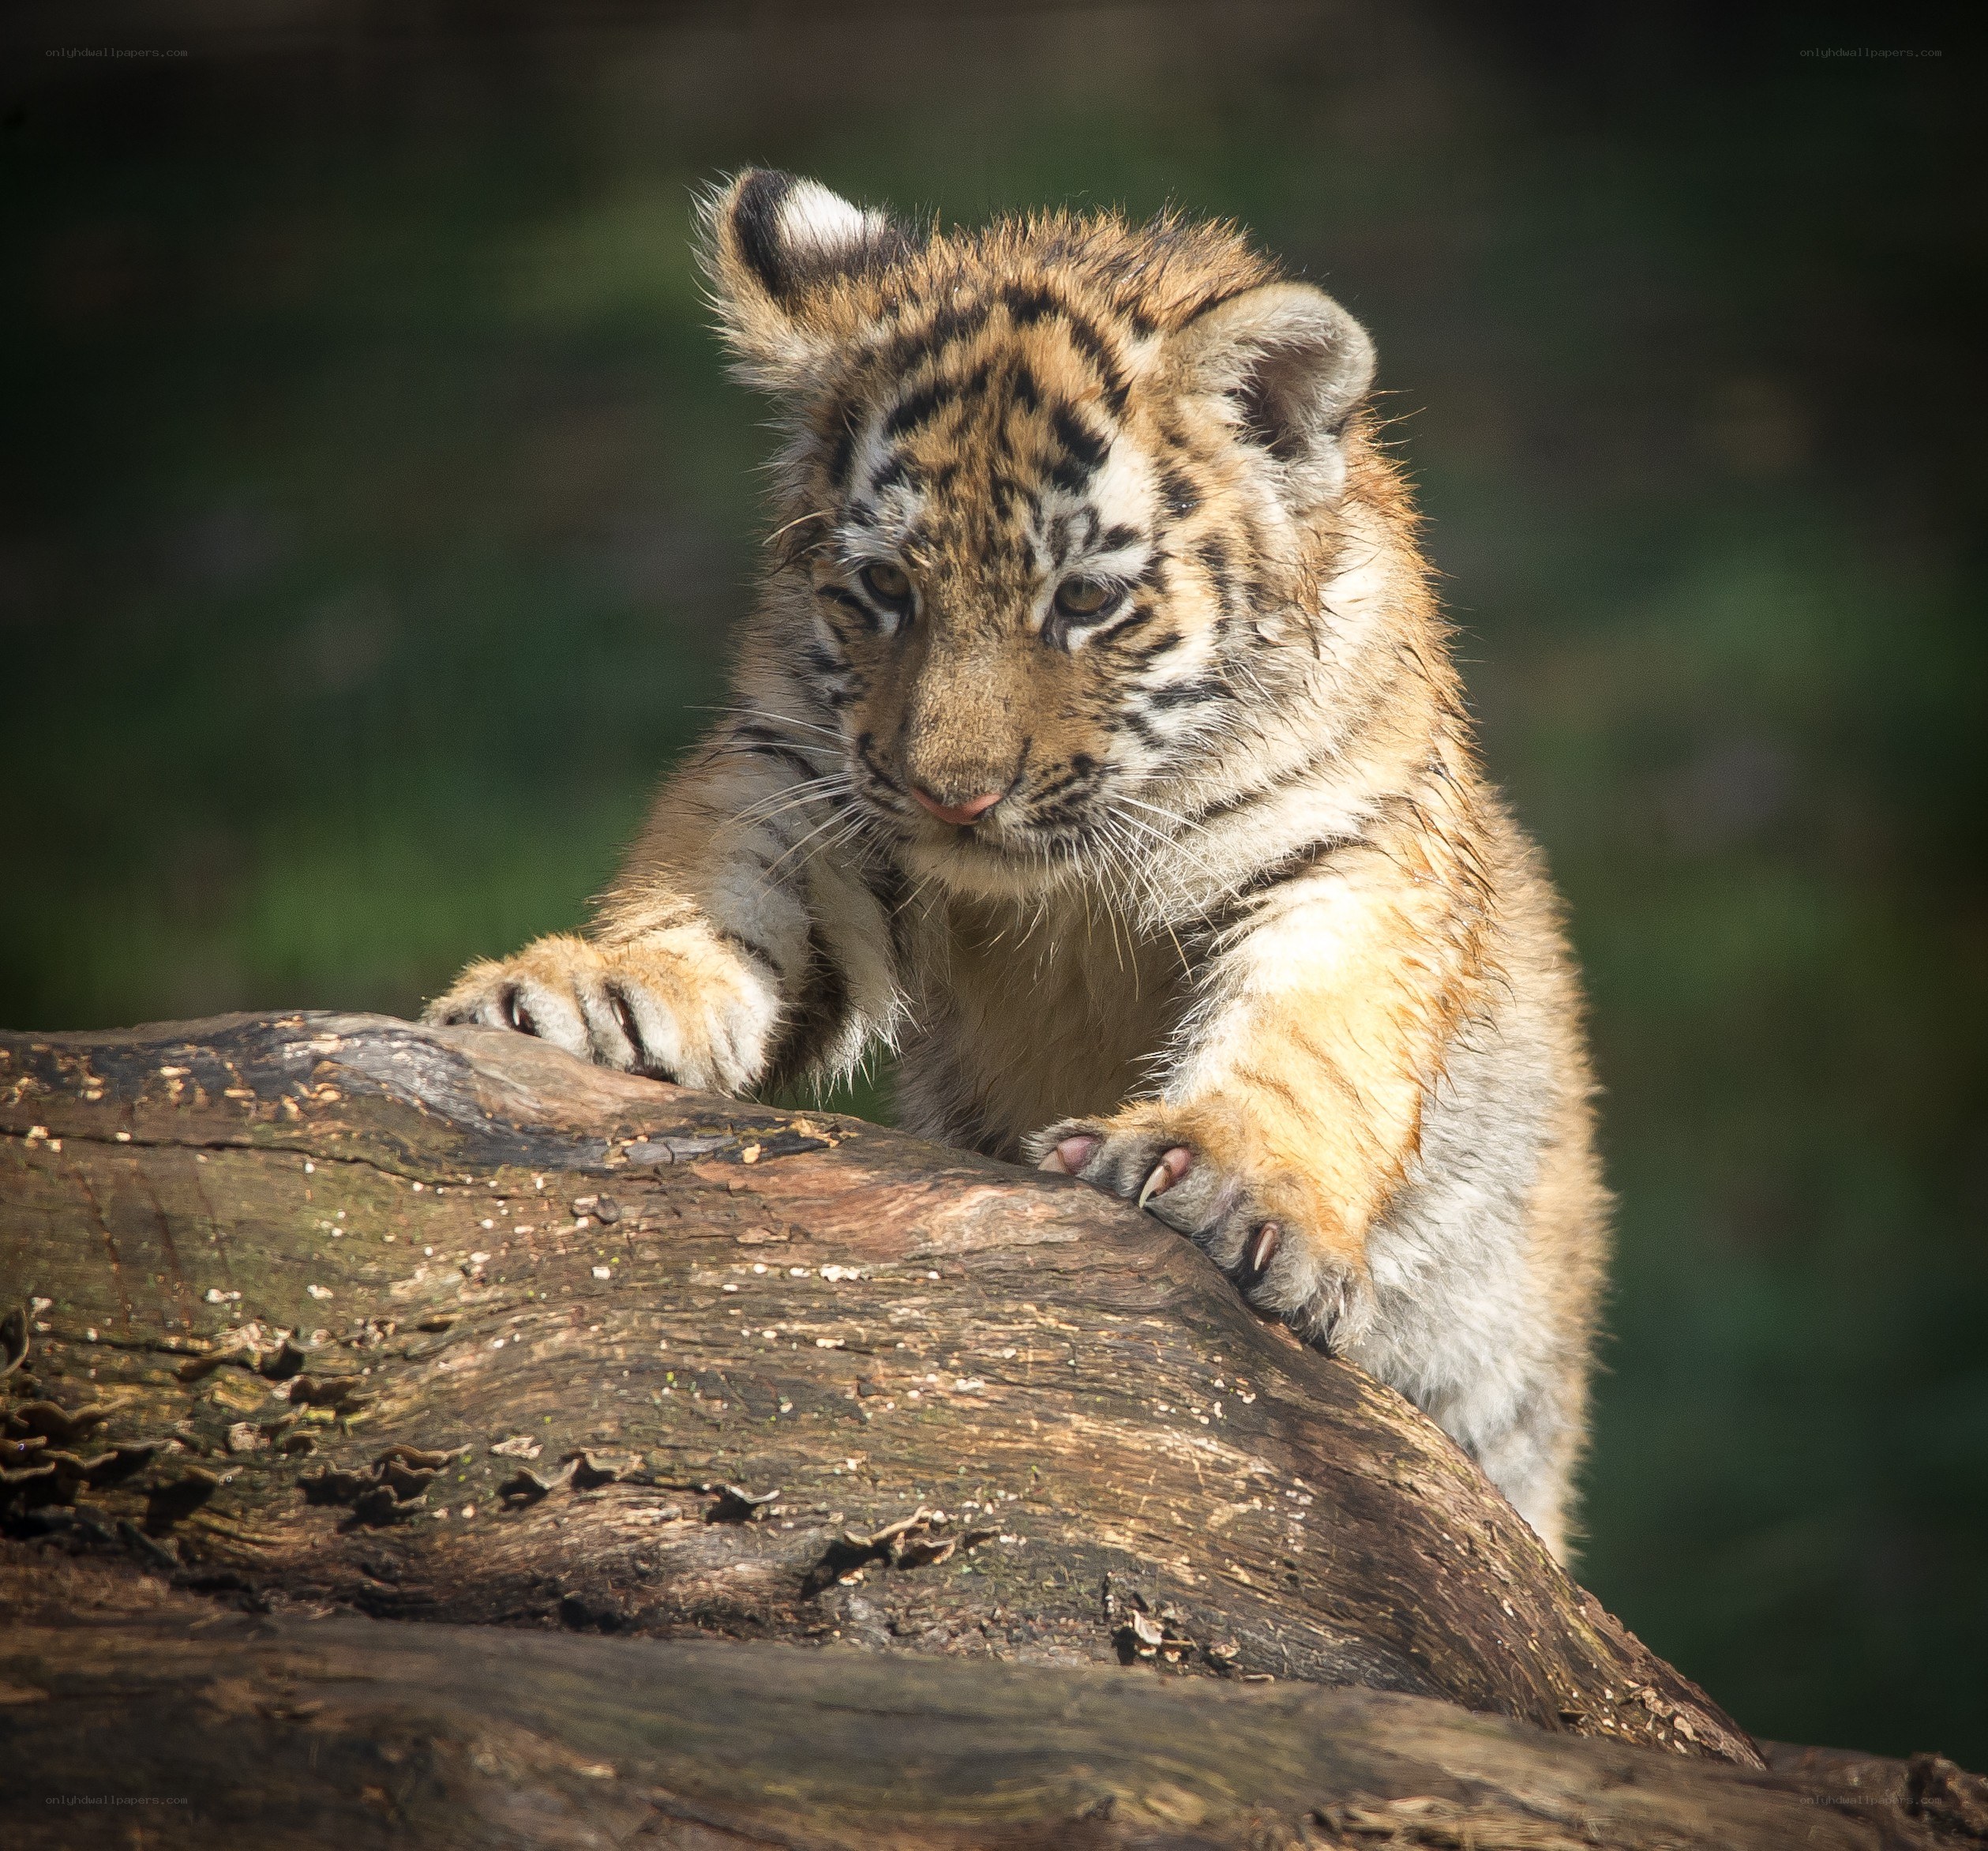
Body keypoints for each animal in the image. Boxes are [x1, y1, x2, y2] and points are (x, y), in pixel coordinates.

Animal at [426, 170, 1610, 1561]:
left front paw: (1217, 1178)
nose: (955, 794)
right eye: (883, 587)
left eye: (1085, 602)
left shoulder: (1347, 846)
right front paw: (595, 995)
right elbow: (714, 899)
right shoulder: (805, 776)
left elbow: (1308, 1033)